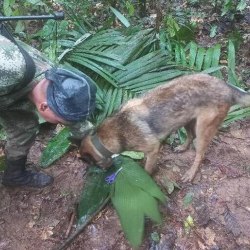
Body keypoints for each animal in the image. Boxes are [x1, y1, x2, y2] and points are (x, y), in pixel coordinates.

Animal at [79, 73, 250, 183]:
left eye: (94, 164)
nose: (105, 172)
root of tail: (226, 86)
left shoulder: (153, 148)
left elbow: (147, 169)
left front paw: (145, 178)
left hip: (203, 129)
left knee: (200, 154)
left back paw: (191, 173)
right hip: (186, 119)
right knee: (190, 136)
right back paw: (182, 147)